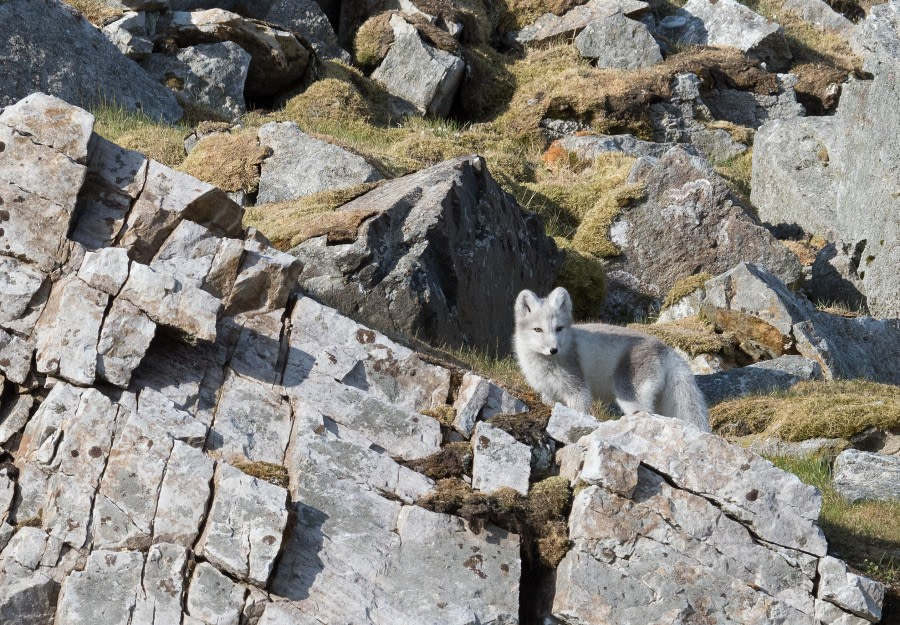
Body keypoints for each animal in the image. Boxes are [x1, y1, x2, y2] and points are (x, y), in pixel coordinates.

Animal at [512, 286, 712, 428]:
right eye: (538, 329)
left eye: (559, 328)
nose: (553, 349)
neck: (543, 365)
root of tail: (665, 348)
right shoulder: (548, 394)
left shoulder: (578, 390)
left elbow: (580, 409)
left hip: (629, 396)